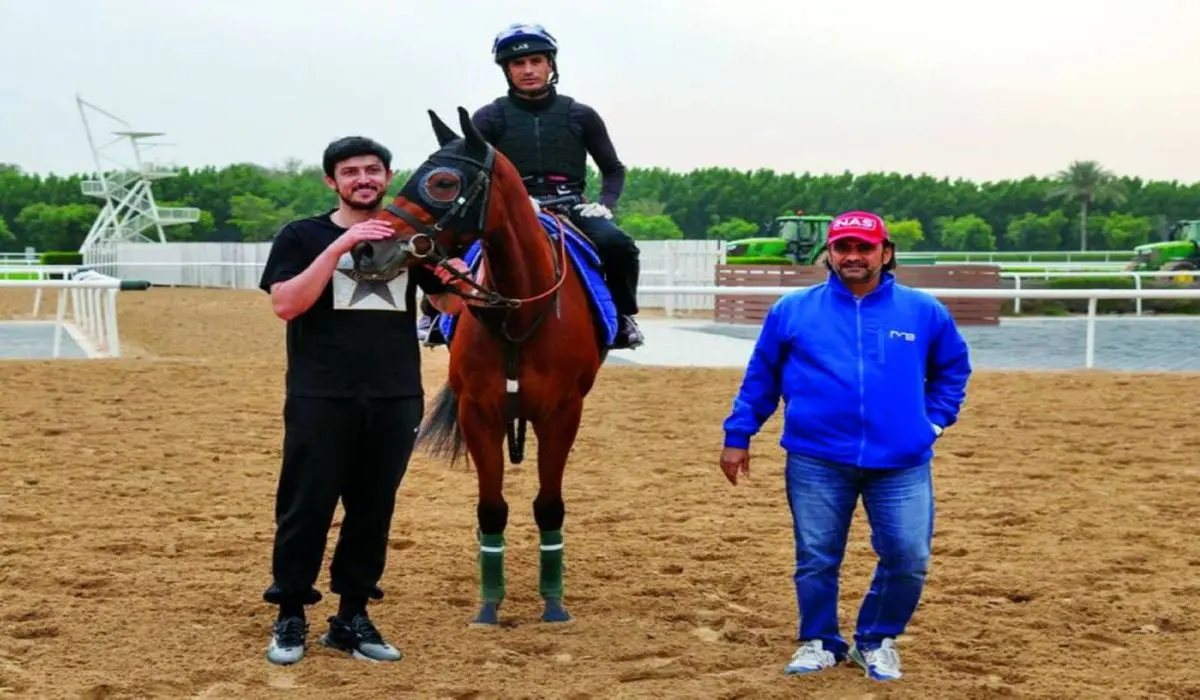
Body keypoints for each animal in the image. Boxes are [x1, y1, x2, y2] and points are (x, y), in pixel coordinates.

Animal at [350, 106, 619, 629]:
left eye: (443, 182)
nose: (367, 250)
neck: (517, 312)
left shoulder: (562, 415)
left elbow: (549, 507)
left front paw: (553, 603)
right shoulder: (478, 412)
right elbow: (491, 509)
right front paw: (489, 604)